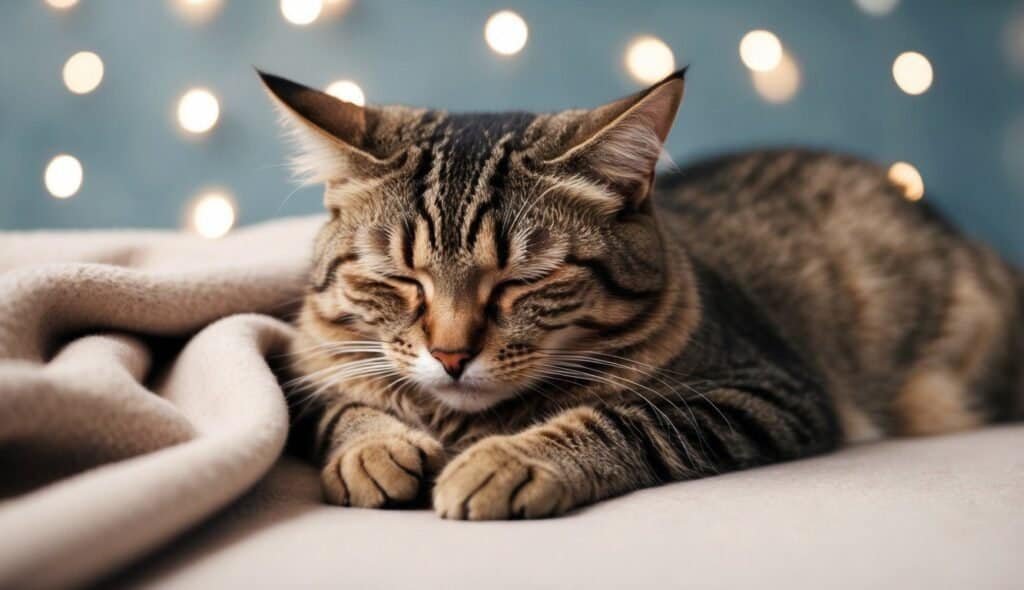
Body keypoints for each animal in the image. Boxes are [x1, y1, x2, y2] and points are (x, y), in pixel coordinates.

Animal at [260, 69, 1019, 518]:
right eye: (399, 278)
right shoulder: (301, 362)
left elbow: (628, 419)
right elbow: (337, 403)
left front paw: (509, 459)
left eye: (524, 280)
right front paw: (370, 448)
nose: (450, 355)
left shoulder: (767, 389)